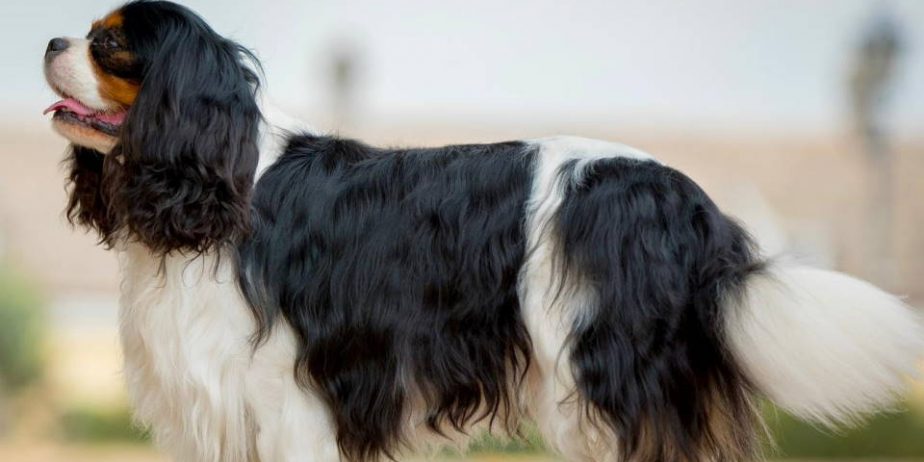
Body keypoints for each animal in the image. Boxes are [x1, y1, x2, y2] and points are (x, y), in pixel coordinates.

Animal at [45, 0, 924, 462]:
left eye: (110, 42)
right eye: (85, 30)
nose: (50, 38)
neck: (217, 184)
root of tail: (687, 199)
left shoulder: (295, 401)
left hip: (602, 382)